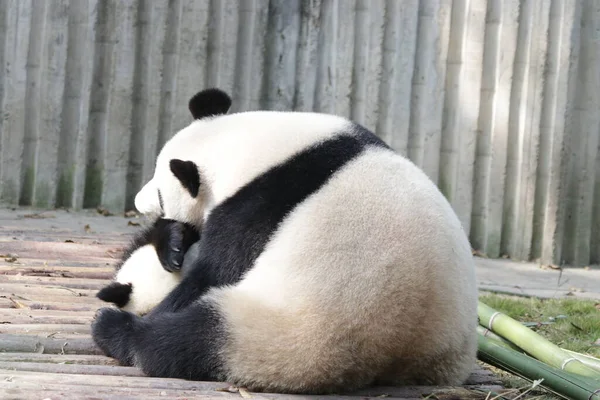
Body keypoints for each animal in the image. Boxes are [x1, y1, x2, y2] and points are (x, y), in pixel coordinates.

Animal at [91, 86, 478, 394]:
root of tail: (398, 359)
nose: (138, 202)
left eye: (159, 191)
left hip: (293, 333)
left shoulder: (259, 205)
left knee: (192, 339)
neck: (243, 149)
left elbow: (217, 269)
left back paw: (117, 329)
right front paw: (171, 242)